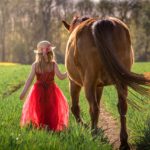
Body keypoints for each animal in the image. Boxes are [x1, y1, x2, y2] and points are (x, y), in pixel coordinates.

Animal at [61, 16, 149, 150]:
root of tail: (101, 22)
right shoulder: (99, 86)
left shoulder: (74, 83)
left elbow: (75, 107)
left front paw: (84, 126)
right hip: (120, 82)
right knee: (122, 107)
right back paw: (123, 142)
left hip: (89, 82)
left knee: (93, 108)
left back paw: (93, 135)